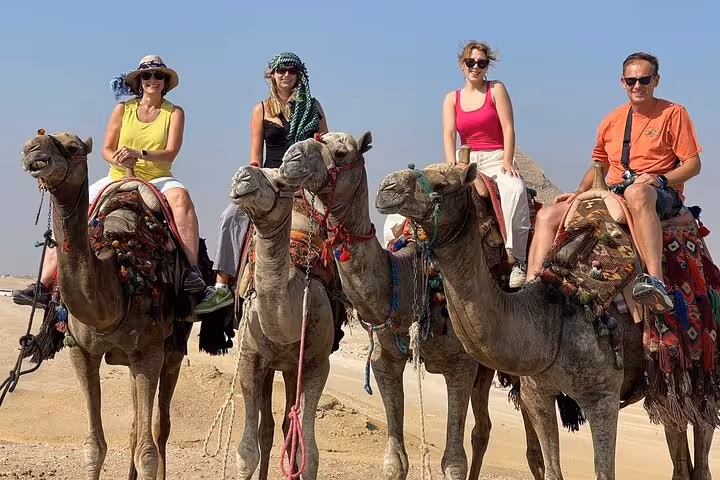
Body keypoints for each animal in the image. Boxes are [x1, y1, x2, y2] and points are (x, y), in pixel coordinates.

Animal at [19, 131, 203, 480]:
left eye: (73, 147)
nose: (32, 149)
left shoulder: (149, 352)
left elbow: (147, 453)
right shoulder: (82, 352)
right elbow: (94, 446)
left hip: (172, 348)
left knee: (160, 427)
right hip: (131, 359)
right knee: (134, 425)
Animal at [228, 165, 336, 479]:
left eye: (280, 182)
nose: (242, 176)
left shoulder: (317, 363)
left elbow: (308, 455)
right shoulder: (250, 357)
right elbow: (246, 452)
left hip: (290, 368)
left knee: (290, 427)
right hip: (272, 366)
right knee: (268, 429)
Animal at [277, 131, 544, 480]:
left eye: (341, 152)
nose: (290, 157)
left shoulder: (460, 365)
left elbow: (453, 462)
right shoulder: (385, 359)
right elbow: (395, 461)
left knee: (532, 445)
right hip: (486, 367)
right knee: (483, 428)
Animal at [374, 160, 716, 480]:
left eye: (442, 184)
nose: (386, 187)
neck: (555, 313)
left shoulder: (602, 396)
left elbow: (604, 471)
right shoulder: (536, 392)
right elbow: (552, 469)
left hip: (705, 372)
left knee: (702, 443)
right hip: (666, 383)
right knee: (676, 432)